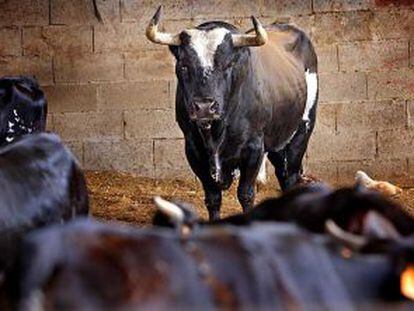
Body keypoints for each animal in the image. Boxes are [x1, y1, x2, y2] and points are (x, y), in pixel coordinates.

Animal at [147, 4, 318, 219]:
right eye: (183, 66)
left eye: (228, 65)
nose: (204, 107)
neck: (216, 132)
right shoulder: (193, 149)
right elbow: (213, 198)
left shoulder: (254, 148)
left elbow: (246, 194)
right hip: (278, 139)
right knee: (282, 171)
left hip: (303, 129)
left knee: (290, 175)